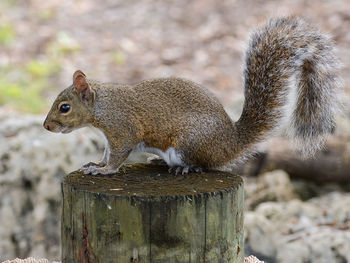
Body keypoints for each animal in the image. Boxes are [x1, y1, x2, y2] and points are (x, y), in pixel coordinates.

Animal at [43, 16, 342, 175]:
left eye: (64, 107)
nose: (46, 126)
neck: (101, 108)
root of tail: (231, 143)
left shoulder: (122, 130)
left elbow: (117, 157)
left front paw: (103, 170)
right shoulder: (109, 138)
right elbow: (106, 153)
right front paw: (96, 163)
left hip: (188, 141)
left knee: (204, 164)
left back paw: (185, 168)